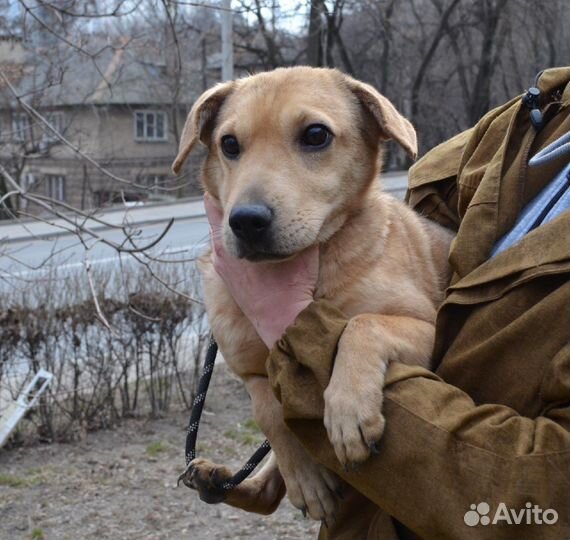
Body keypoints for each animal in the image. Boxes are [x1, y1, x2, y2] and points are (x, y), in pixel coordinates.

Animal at [171, 66, 450, 524]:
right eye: (229, 144)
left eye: (316, 134)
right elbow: (269, 412)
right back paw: (219, 480)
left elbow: (362, 323)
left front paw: (348, 410)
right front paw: (305, 477)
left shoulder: (429, 330)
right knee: (267, 490)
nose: (246, 221)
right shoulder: (249, 369)